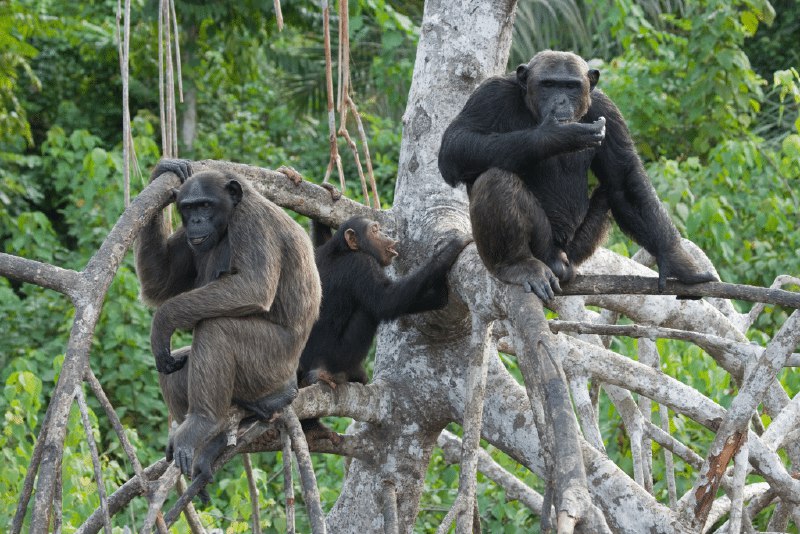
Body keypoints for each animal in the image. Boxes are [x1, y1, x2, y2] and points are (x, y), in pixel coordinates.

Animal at [137, 160, 322, 490]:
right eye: (188, 207)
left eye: (205, 205)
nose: (196, 220)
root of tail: (291, 384)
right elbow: (160, 284)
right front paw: (164, 170)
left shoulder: (252, 223)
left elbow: (253, 287)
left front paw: (162, 323)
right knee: (179, 367)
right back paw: (206, 440)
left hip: (270, 366)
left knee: (217, 329)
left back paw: (203, 424)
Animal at [440, 49, 716, 302]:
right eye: (549, 84)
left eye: (571, 86)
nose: (561, 101)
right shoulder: (489, 94)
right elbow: (455, 145)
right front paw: (556, 136)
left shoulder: (608, 109)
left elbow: (624, 179)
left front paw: (677, 261)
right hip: (544, 246)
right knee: (495, 180)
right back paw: (516, 265)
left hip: (577, 249)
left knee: (609, 190)